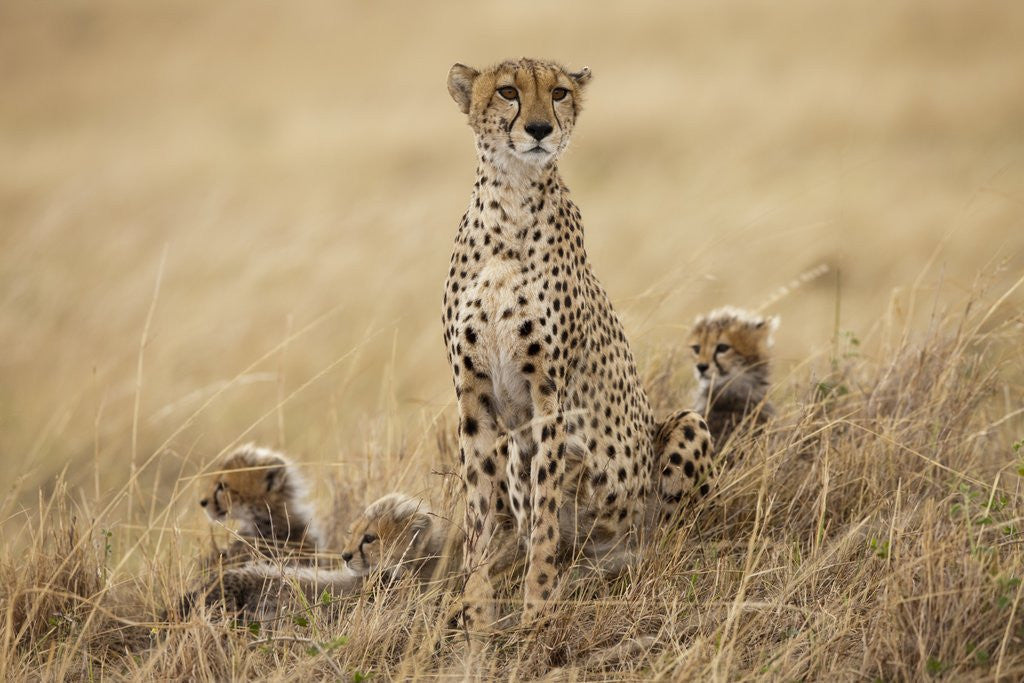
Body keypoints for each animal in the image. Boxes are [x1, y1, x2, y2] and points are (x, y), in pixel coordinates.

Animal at [442, 57, 714, 638]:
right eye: (508, 91)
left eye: (560, 93)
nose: (540, 129)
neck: (511, 203)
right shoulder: (474, 399)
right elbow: (478, 517)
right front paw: (477, 612)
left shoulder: (550, 398)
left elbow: (545, 515)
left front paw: (537, 612)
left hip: (683, 431)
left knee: (668, 538)